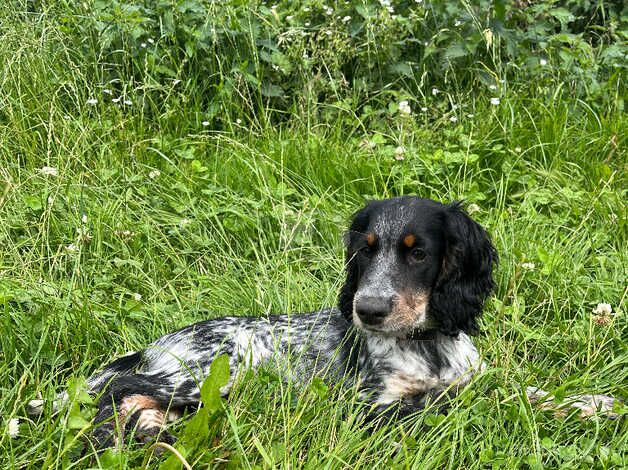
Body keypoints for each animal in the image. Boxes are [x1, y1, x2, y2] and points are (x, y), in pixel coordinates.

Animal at [28, 196, 620, 446]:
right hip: (213, 371)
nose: (368, 310)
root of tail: (155, 345)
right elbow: (462, 400)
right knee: (117, 392)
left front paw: (592, 403)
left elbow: (517, 389)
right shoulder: (369, 410)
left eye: (418, 252)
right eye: (365, 249)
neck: (425, 344)